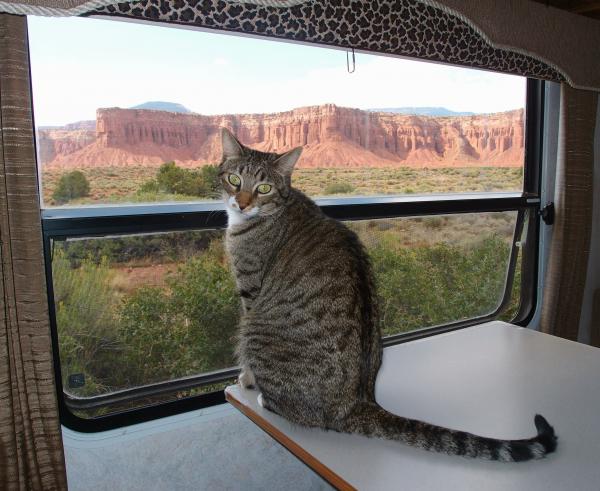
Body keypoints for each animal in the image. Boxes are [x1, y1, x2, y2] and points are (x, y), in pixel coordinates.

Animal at [220, 128, 556, 462]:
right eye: (234, 179)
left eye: (263, 187)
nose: (242, 203)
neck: (279, 207)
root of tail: (357, 404)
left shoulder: (250, 289)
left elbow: (247, 358)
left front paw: (247, 378)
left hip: (255, 331)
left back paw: (267, 399)